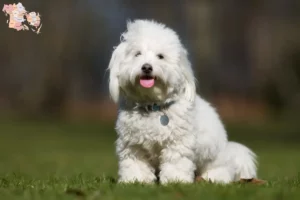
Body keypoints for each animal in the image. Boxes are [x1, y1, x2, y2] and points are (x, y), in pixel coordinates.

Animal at [106, 19, 256, 184]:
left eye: (160, 56)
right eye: (137, 54)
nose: (146, 67)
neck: (152, 106)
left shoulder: (177, 143)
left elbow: (175, 163)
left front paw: (175, 180)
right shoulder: (133, 145)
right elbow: (135, 164)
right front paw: (135, 180)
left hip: (214, 157)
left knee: (223, 170)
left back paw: (213, 178)